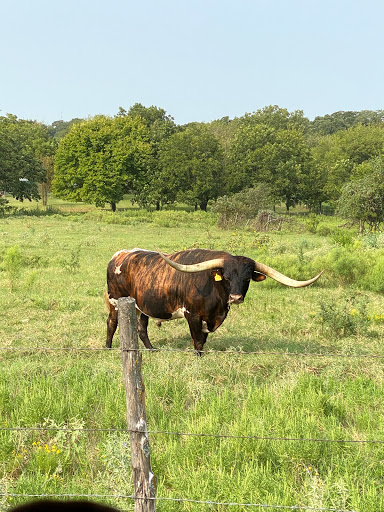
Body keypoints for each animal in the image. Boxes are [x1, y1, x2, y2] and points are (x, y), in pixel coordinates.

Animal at [106, 247, 322, 352]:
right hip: (115, 301)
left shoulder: (209, 319)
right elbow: (197, 343)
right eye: (226, 277)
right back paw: (108, 349)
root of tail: (119, 255)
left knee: (142, 328)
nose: (236, 297)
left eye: (247, 278)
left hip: (142, 306)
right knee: (111, 323)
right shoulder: (192, 315)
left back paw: (152, 350)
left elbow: (203, 339)